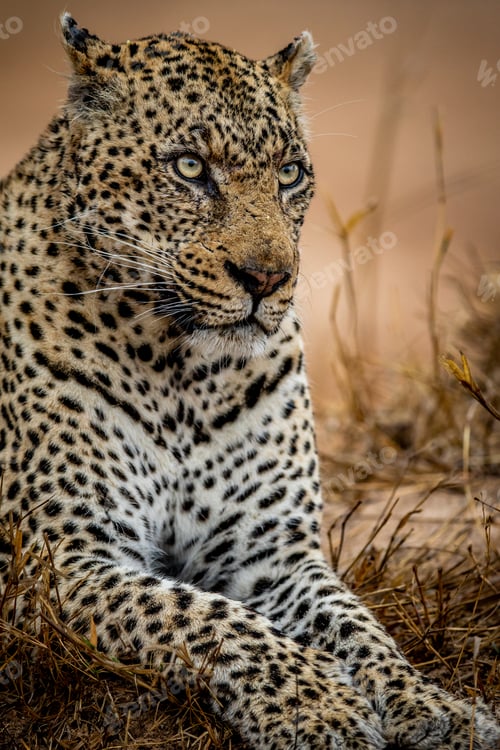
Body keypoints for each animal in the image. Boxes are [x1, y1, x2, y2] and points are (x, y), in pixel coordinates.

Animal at [0, 13, 498, 749]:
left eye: (289, 174)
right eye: (189, 167)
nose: (267, 278)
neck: (179, 372)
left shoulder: (273, 553)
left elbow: (362, 628)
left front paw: (436, 707)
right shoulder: (56, 559)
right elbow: (203, 616)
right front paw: (318, 705)